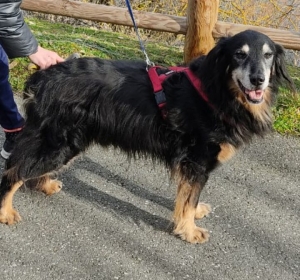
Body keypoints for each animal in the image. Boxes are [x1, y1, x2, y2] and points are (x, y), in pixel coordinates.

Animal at [0, 30, 292, 243]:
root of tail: (43, 77)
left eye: (268, 56)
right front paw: (188, 230)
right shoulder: (196, 160)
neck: (216, 90)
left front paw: (193, 214)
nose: (258, 79)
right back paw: (6, 211)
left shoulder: (190, 165)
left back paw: (44, 184)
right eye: (239, 55)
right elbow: (189, 198)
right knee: (14, 170)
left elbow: (188, 196)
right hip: (59, 142)